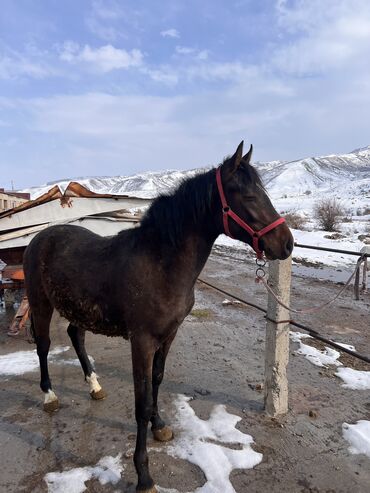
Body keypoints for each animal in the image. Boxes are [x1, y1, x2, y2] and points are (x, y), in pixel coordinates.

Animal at [24, 140, 294, 490]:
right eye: (248, 196)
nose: (286, 244)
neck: (160, 263)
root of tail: (39, 238)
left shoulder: (168, 335)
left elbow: (157, 381)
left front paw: (161, 426)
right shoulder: (141, 341)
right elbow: (141, 402)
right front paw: (144, 475)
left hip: (79, 310)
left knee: (75, 335)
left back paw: (95, 386)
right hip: (41, 304)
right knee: (43, 346)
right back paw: (49, 396)